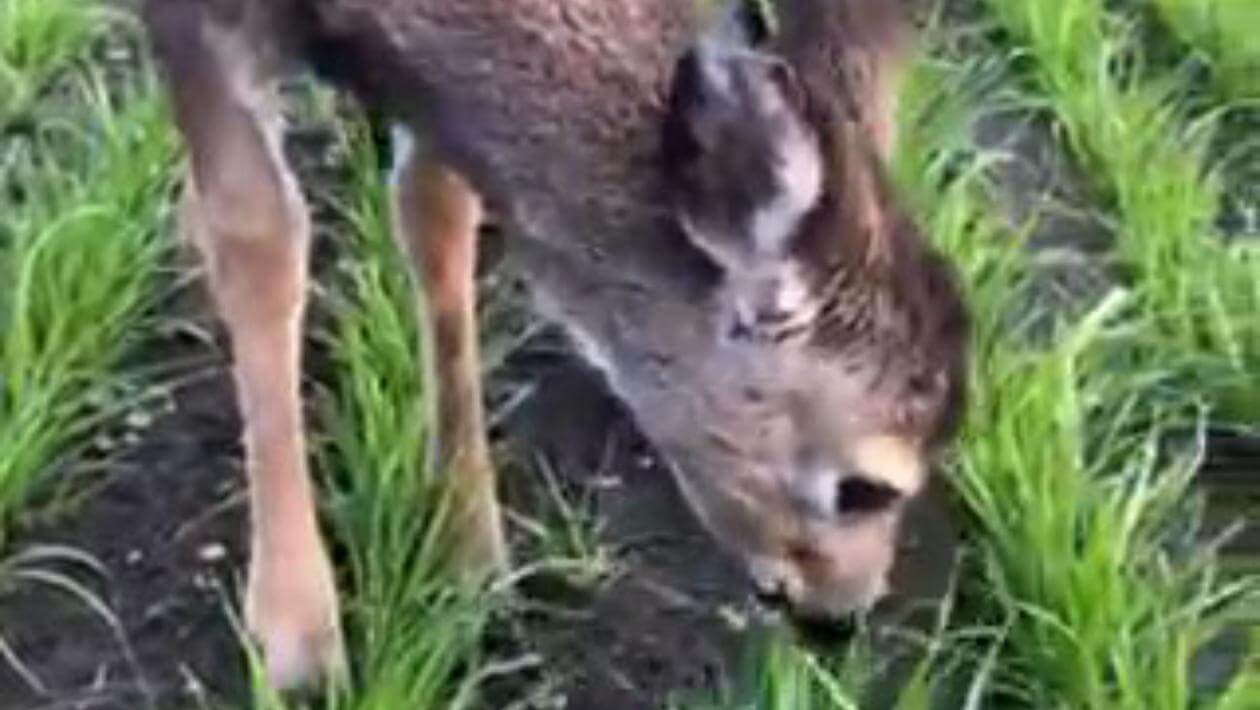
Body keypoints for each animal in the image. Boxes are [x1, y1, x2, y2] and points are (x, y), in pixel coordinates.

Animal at [142, 0, 968, 689]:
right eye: (864, 486)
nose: (842, 617)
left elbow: (437, 211)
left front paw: (470, 554)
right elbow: (260, 239)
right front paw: (296, 637)